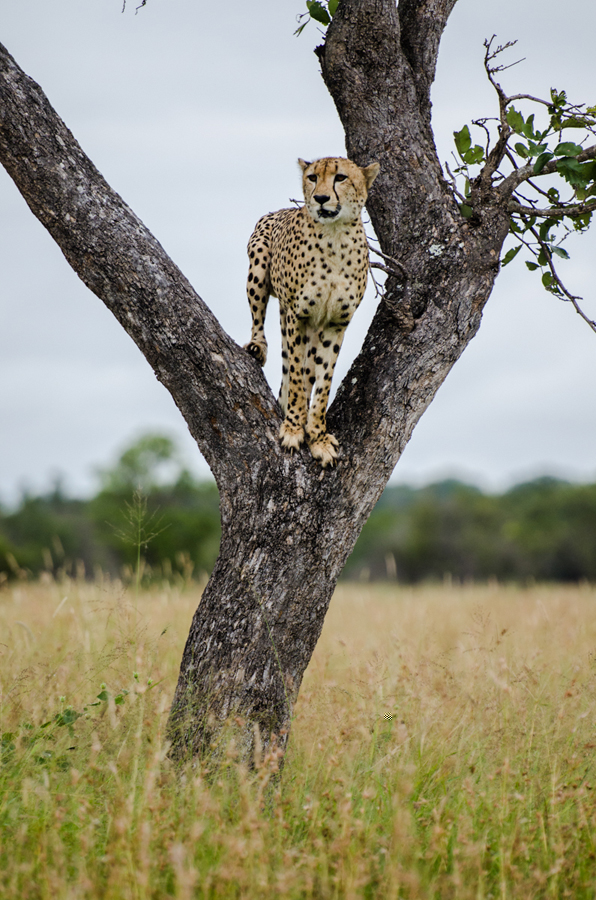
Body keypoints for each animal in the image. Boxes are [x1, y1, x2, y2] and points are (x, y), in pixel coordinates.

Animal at [244, 156, 379, 467]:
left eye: (341, 177)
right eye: (312, 177)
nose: (320, 198)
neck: (335, 236)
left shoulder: (336, 323)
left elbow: (323, 381)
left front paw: (317, 437)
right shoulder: (298, 315)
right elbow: (294, 375)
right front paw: (294, 428)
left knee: (308, 371)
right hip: (258, 266)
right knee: (259, 316)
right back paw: (257, 346)